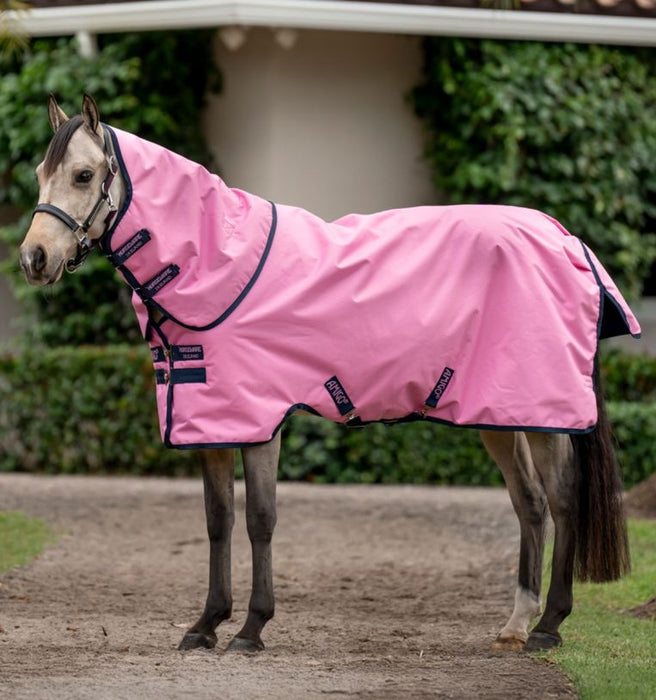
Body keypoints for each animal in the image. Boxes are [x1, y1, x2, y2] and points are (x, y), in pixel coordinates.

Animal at [19, 95, 637, 655]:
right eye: (40, 175)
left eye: (82, 174)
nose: (33, 259)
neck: (216, 262)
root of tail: (565, 237)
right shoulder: (212, 423)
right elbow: (218, 520)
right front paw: (205, 625)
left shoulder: (261, 421)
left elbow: (260, 519)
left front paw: (250, 629)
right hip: (499, 414)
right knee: (529, 504)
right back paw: (516, 625)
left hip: (544, 415)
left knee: (562, 501)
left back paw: (549, 626)